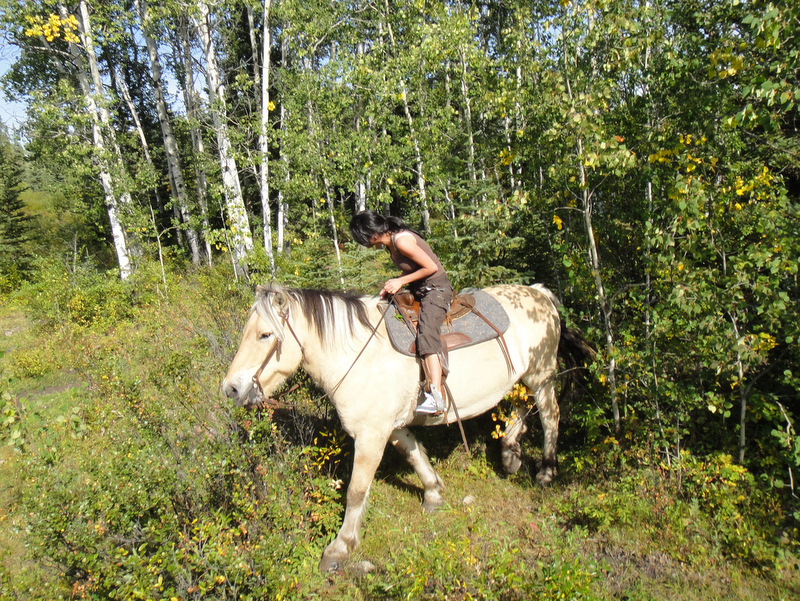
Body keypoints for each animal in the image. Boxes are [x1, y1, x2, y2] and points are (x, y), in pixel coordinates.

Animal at [222, 283, 593, 572]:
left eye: (265, 334)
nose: (231, 388)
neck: (360, 354)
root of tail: (540, 292)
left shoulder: (371, 435)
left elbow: (356, 490)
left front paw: (340, 547)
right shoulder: (392, 426)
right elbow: (413, 453)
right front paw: (433, 493)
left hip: (541, 374)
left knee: (549, 415)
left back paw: (545, 471)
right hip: (524, 375)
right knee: (520, 405)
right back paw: (510, 452)